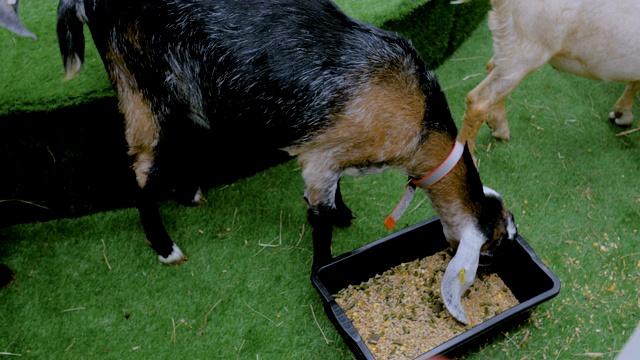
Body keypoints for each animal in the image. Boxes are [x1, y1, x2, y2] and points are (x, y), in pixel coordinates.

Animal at [456, 0, 640, 158]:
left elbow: (634, 83)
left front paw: (621, 113)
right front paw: (623, 115)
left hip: (510, 43)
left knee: (491, 72)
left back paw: (499, 128)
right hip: (526, 49)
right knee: (479, 100)